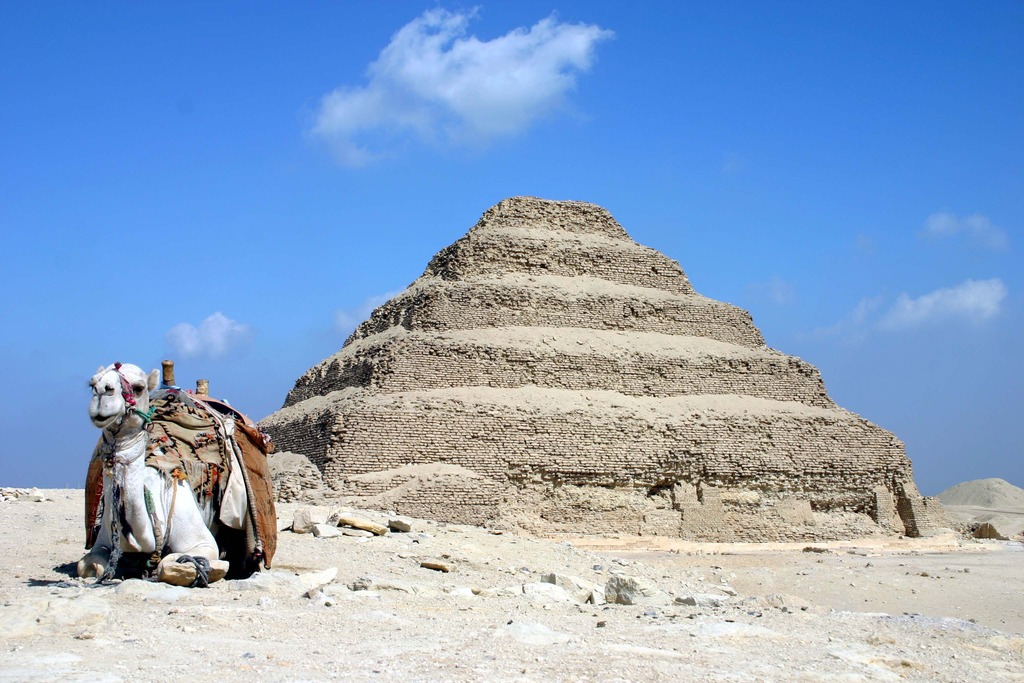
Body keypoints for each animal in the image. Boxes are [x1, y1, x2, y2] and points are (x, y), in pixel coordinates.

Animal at [78, 362, 276, 589]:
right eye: (92, 383)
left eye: (138, 387)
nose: (102, 393)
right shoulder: (102, 542)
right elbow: (86, 566)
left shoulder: (201, 541)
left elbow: (171, 563)